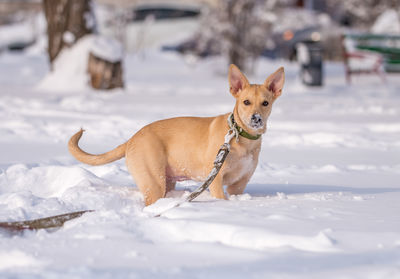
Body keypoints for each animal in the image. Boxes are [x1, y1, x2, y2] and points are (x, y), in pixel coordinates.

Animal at [70, 65, 286, 206]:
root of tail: (132, 138)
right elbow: (220, 198)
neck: (241, 137)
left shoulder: (239, 185)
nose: (256, 119)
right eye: (246, 102)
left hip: (167, 181)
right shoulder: (216, 180)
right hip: (154, 183)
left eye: (265, 103)